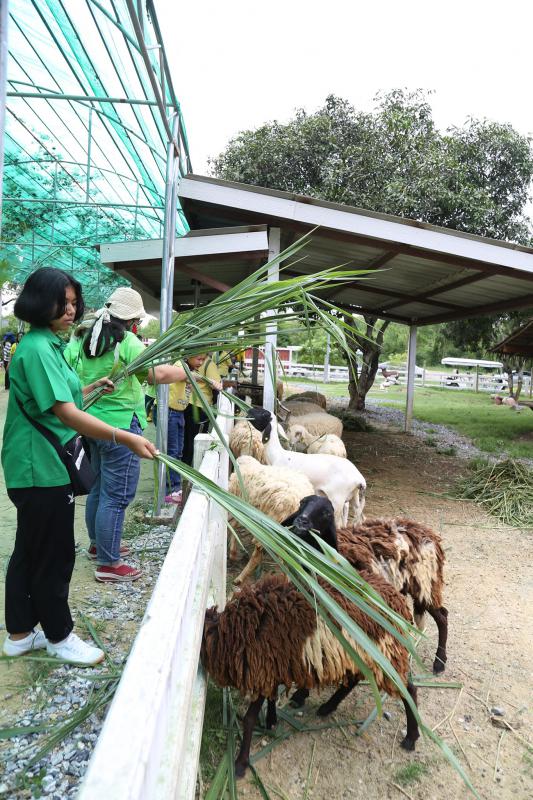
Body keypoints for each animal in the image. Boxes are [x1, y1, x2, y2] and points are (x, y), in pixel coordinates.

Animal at [202, 570, 419, 778]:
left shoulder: (262, 669)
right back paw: (327, 707)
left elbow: (248, 719)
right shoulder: (272, 666)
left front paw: (240, 764)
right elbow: (271, 698)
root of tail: (397, 600)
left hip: (385, 654)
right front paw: (271, 721)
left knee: (409, 690)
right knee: (352, 682)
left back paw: (411, 737)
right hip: (361, 658)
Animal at [283, 495, 448, 675]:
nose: (302, 521)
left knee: (442, 617)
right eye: (301, 503)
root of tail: (426, 531)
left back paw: (439, 663)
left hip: (426, 583)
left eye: (327, 513)